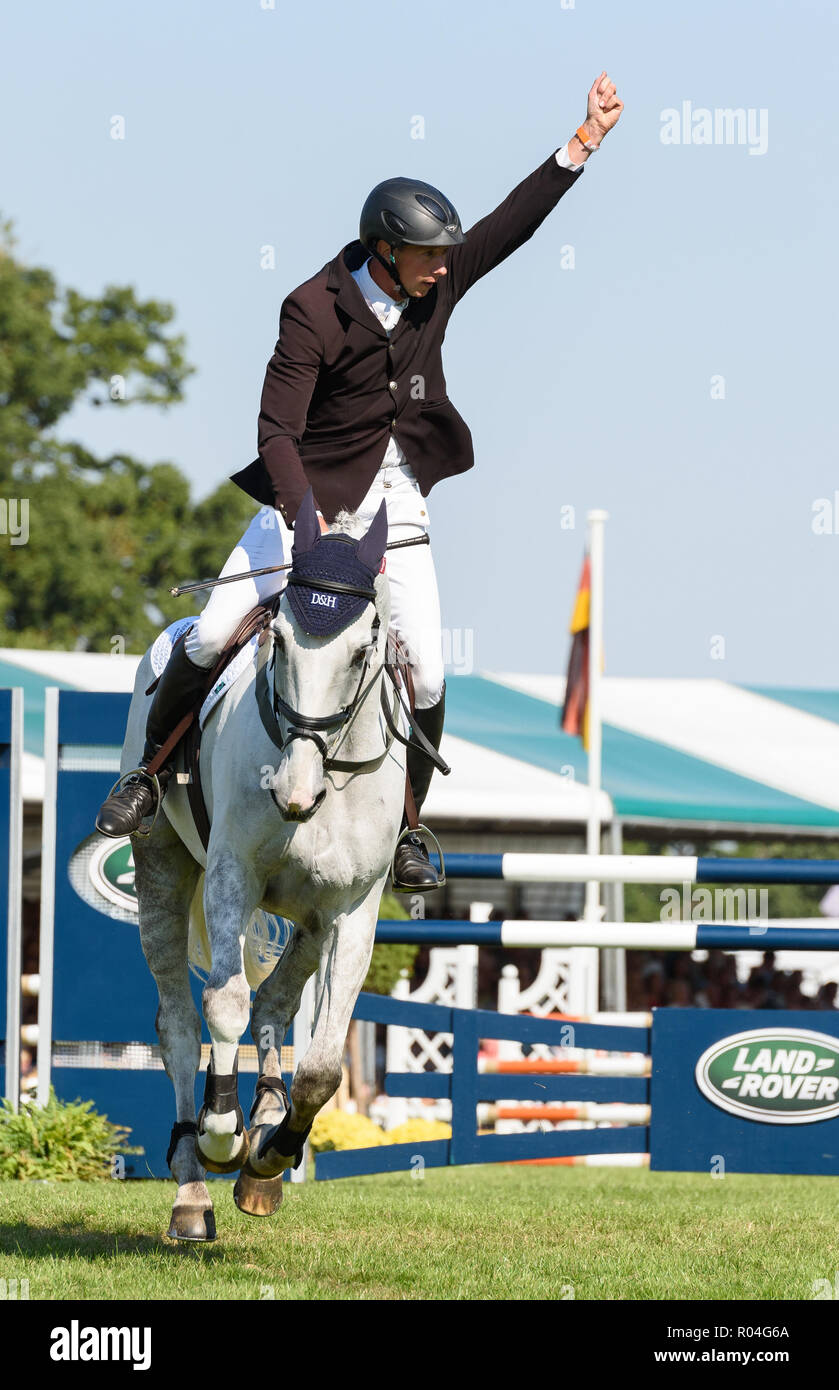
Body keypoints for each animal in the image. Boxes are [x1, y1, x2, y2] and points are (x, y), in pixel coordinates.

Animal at [126, 497, 408, 1239]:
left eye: (362, 651)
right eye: (277, 641)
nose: (293, 794)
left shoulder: (351, 910)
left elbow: (323, 1065)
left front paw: (269, 1154)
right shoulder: (232, 876)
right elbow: (223, 1004)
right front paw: (224, 1136)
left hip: (309, 919)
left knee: (278, 1002)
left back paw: (267, 1135)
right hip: (161, 867)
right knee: (179, 1024)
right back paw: (193, 1183)